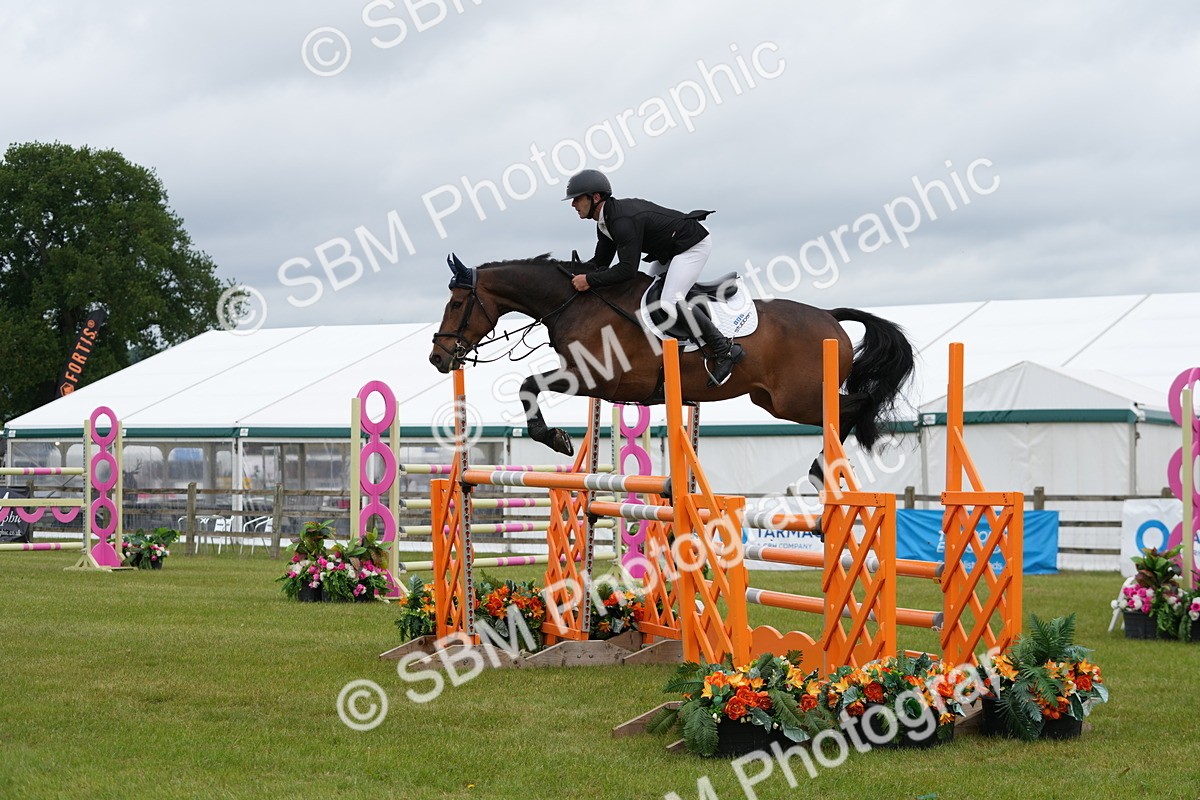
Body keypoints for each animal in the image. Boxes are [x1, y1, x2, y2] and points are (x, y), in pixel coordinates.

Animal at [429, 254, 915, 481]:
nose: (437, 357)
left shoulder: (597, 378)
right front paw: (559, 438)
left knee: (855, 407)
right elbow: (530, 386)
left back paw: (821, 471)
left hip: (797, 400)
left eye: (455, 303)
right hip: (774, 401)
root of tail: (830, 317)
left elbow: (529, 384)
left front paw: (557, 439)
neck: (576, 303)